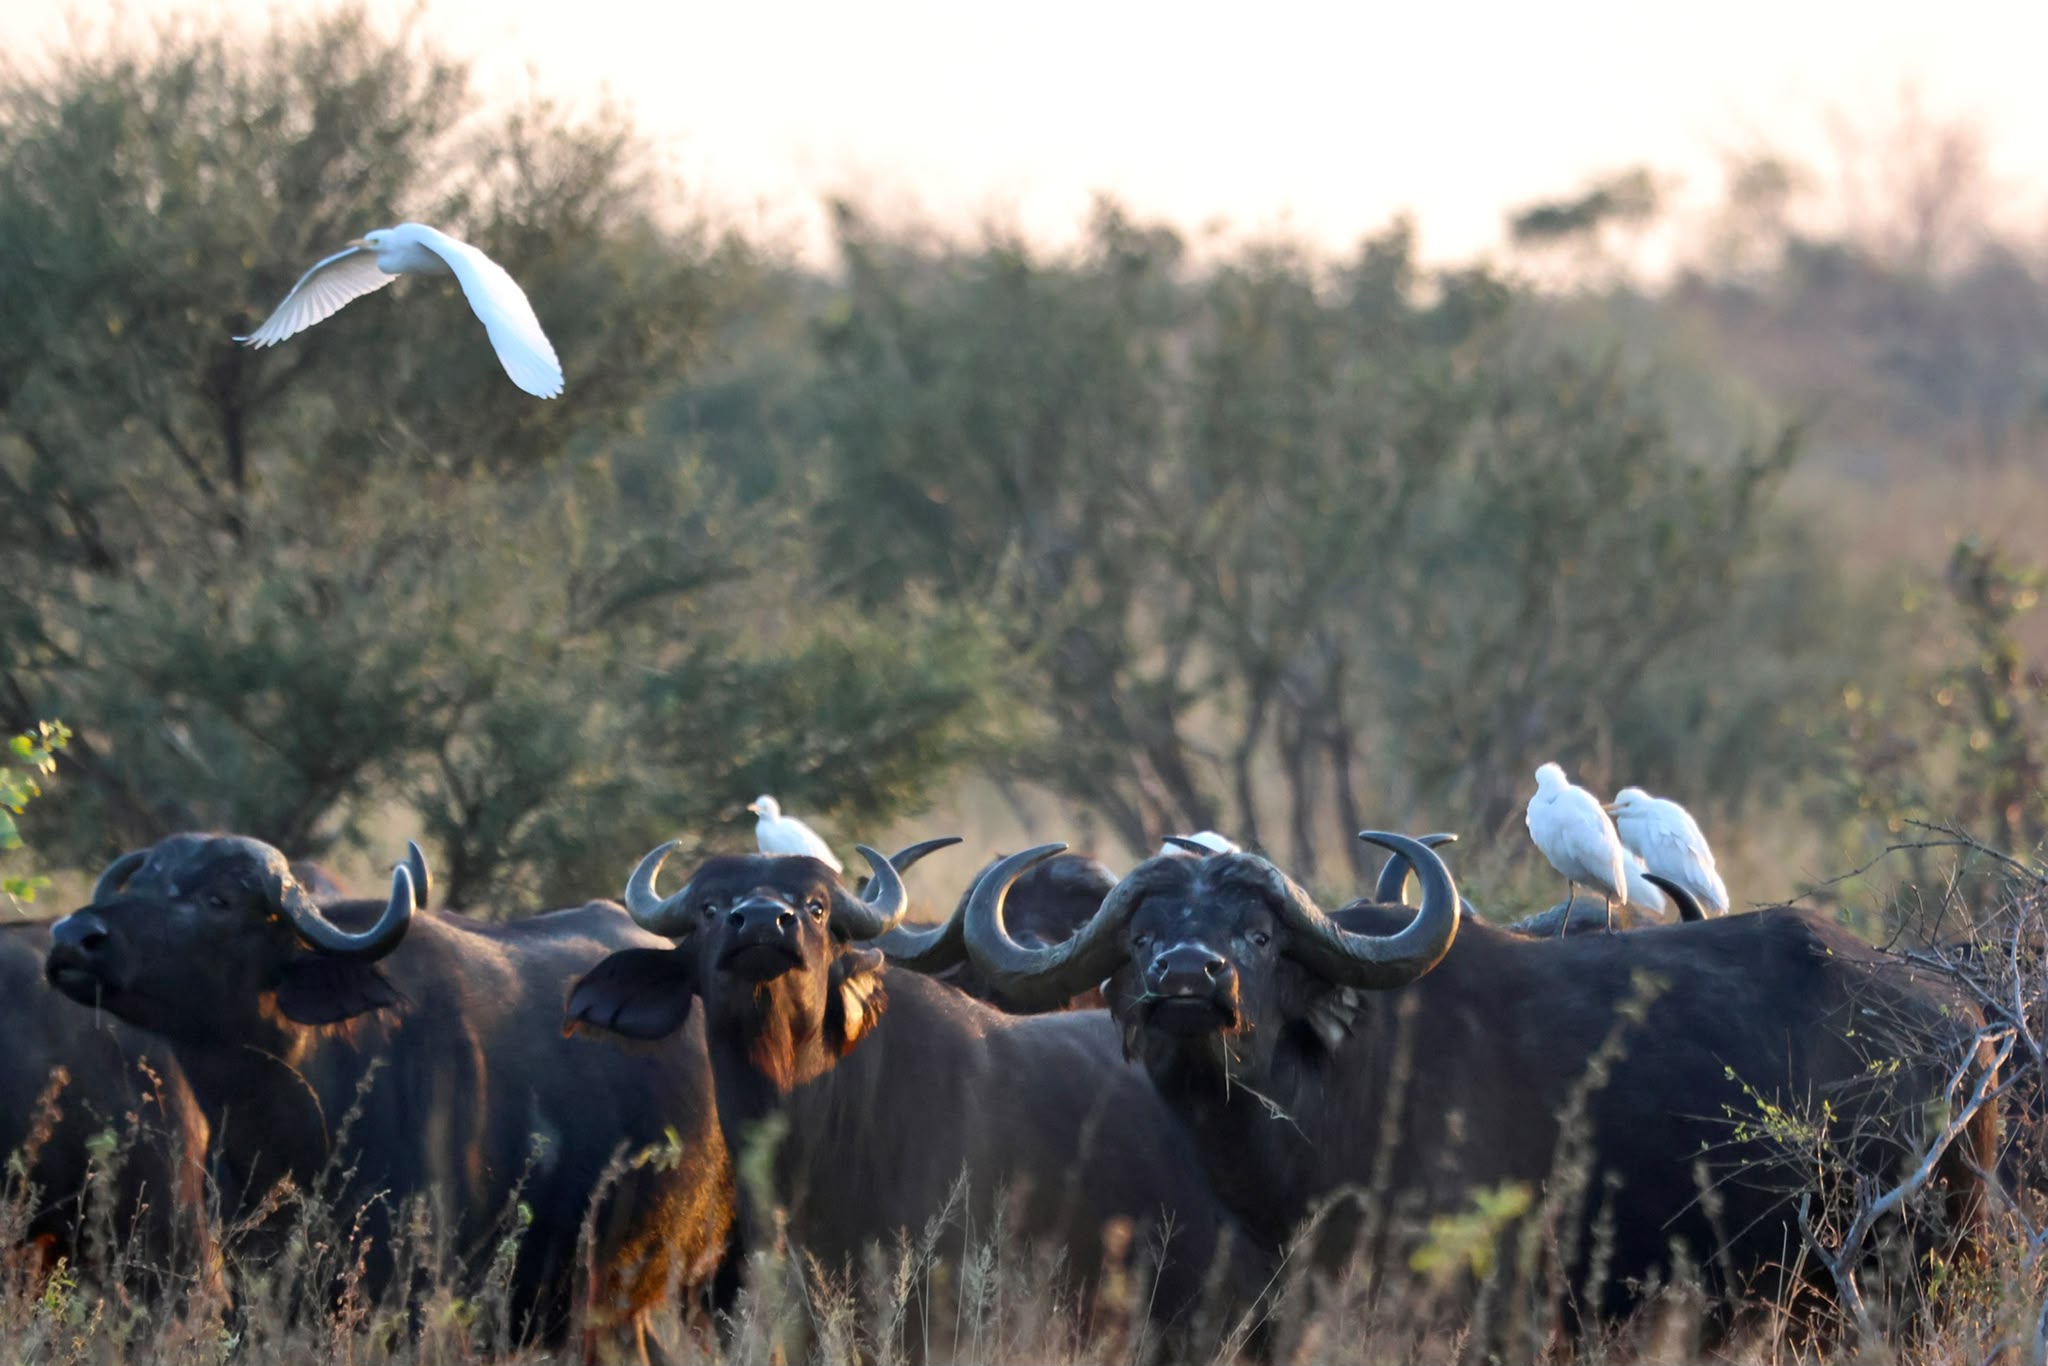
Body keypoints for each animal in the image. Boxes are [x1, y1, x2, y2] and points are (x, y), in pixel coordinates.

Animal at [43, 833, 732, 1362]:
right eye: (140, 881)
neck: (293, 1129)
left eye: (219, 899)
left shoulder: (413, 1296)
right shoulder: (254, 1291)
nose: (72, 937)